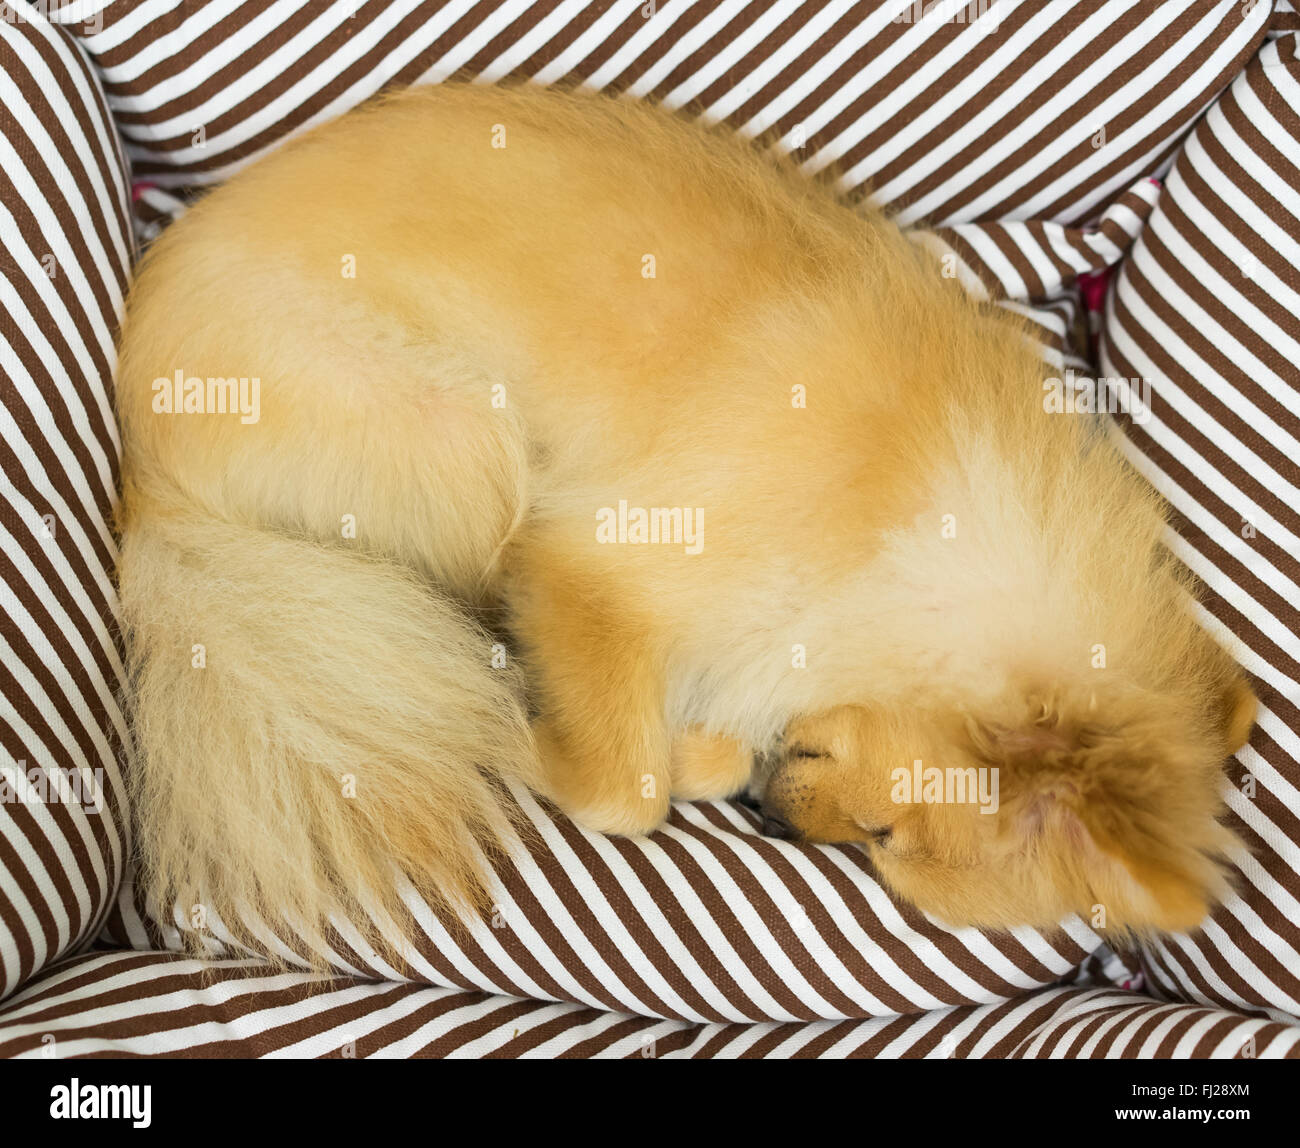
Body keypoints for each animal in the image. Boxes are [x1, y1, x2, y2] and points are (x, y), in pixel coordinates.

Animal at [114, 83, 1258, 962]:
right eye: (886, 834)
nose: (774, 817)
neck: (931, 548)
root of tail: (144, 481)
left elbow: (693, 745)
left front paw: (706, 744)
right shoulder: (597, 565)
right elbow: (629, 789)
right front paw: (536, 739)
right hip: (464, 440)